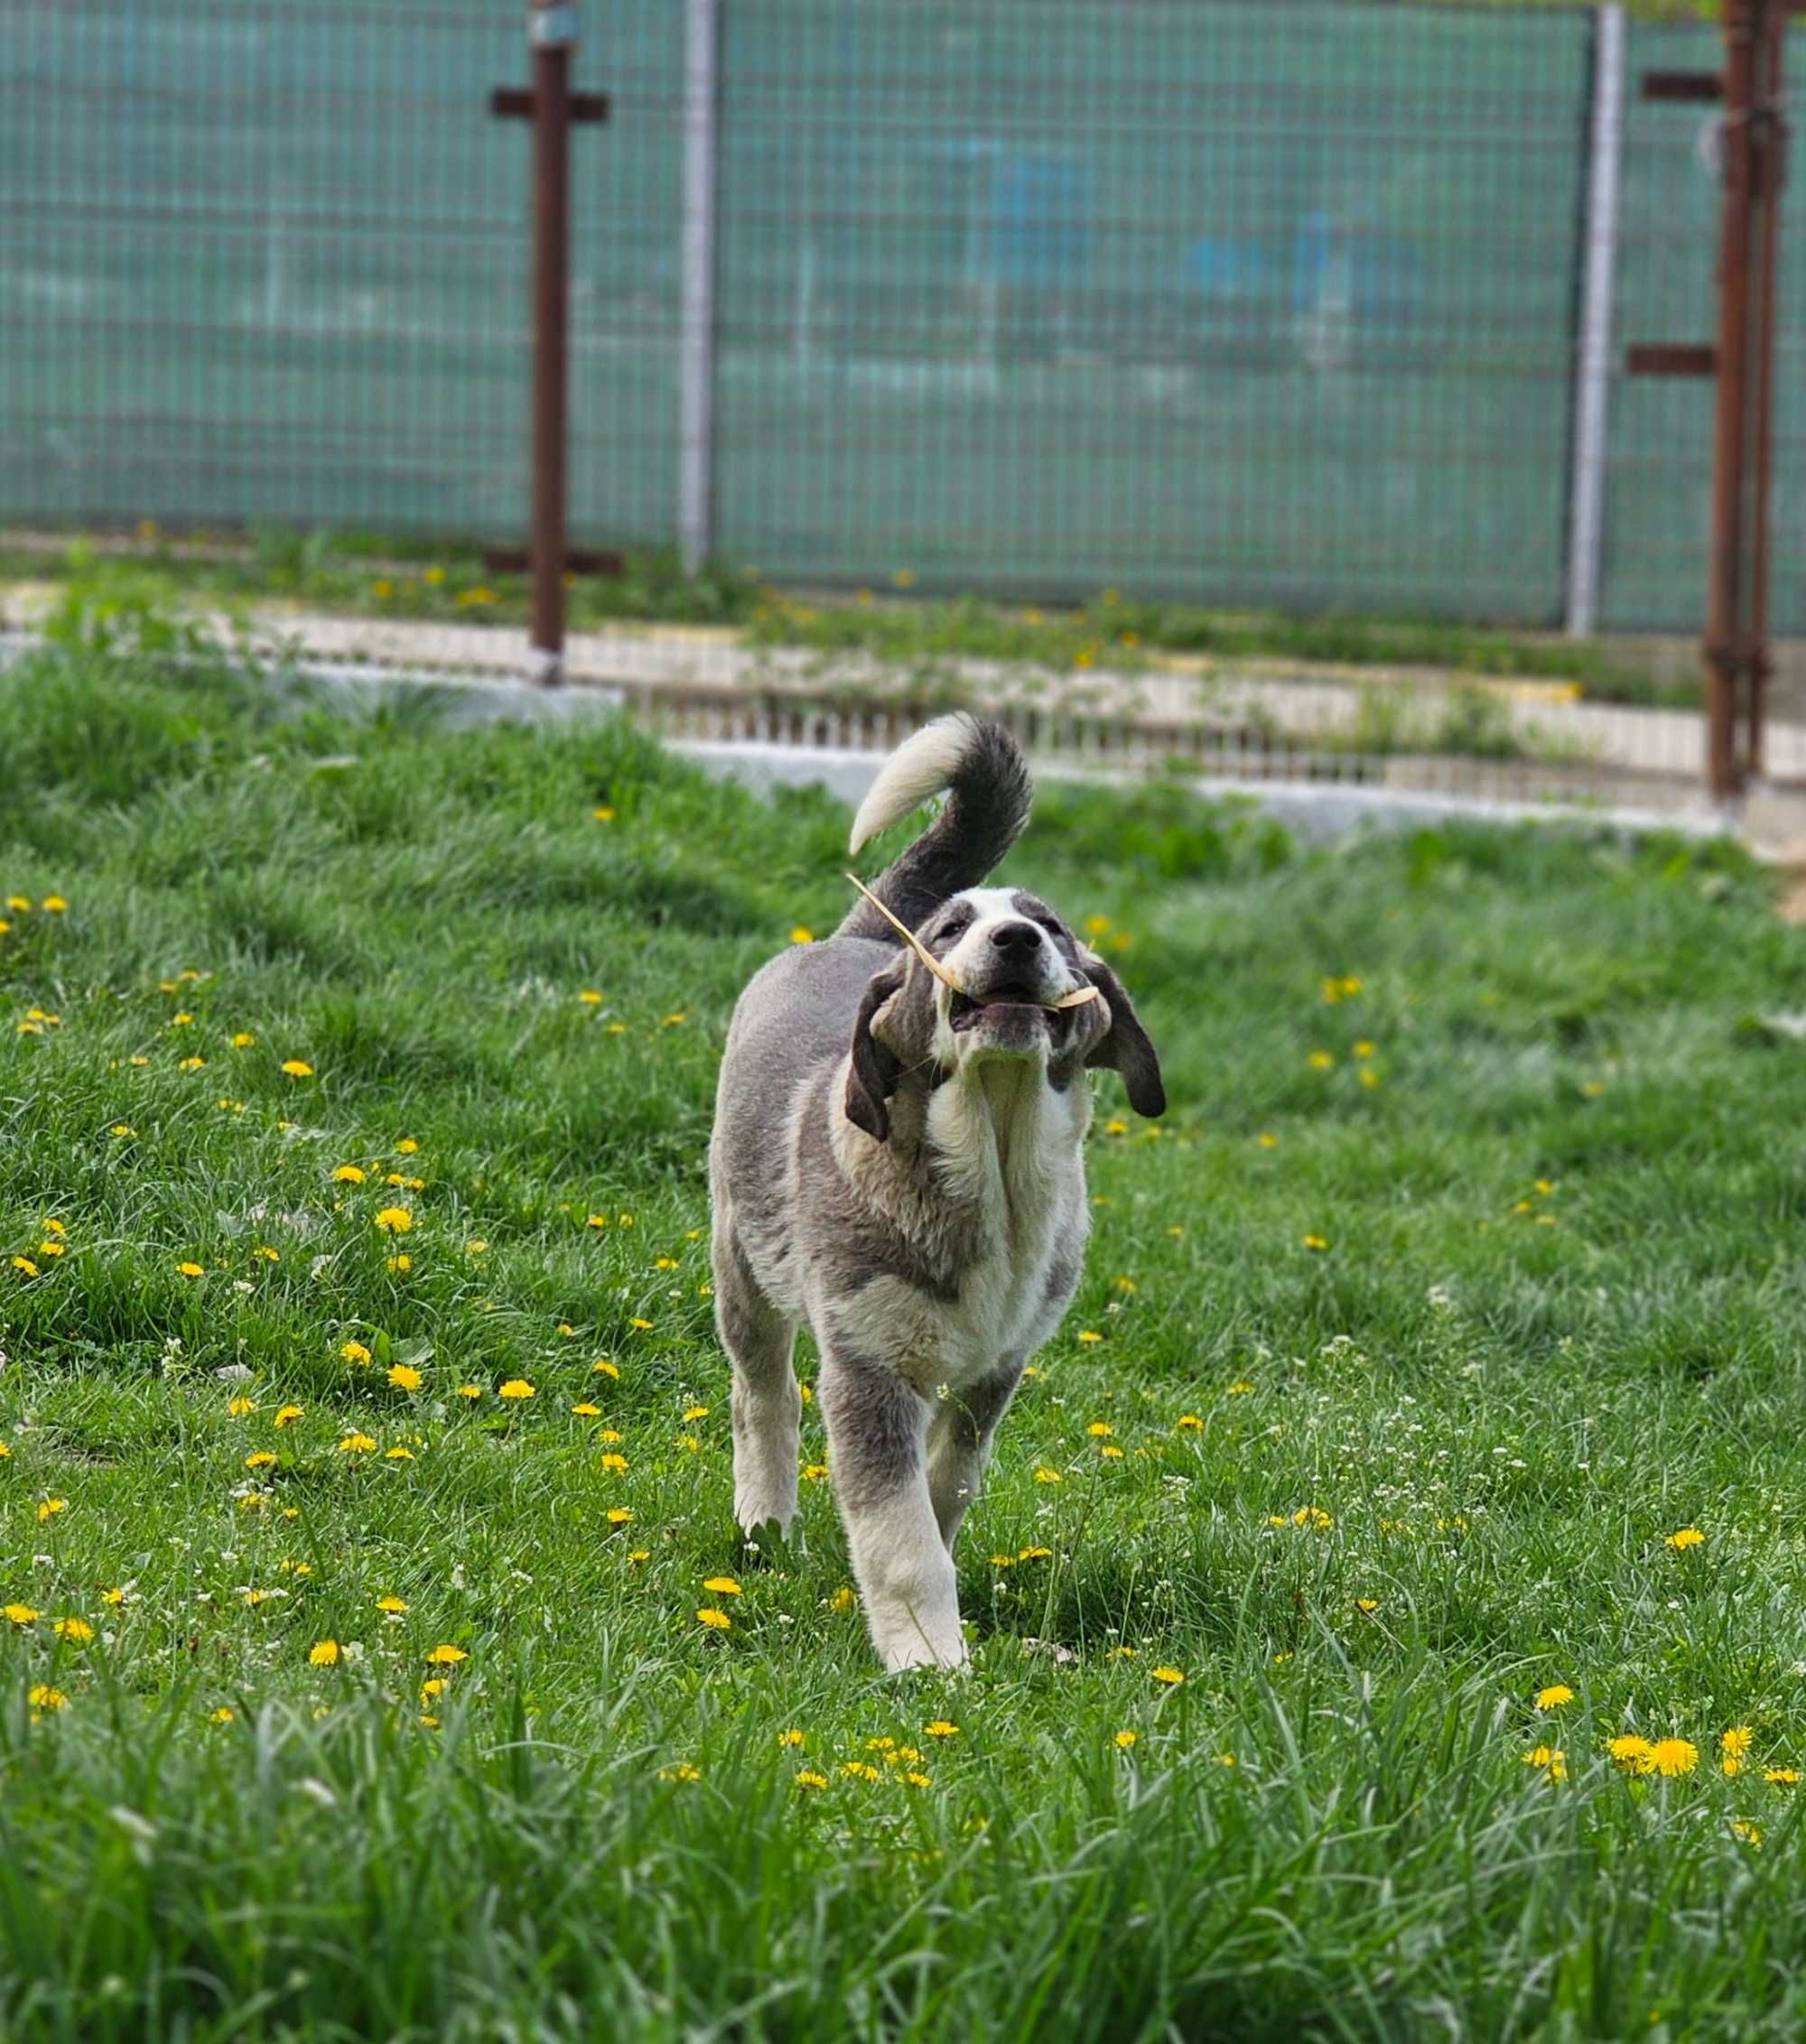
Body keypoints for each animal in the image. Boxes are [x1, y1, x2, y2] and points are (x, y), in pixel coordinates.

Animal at [707, 711, 1161, 1668]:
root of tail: (864, 939)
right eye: (952, 928)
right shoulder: (867, 1367)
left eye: (1051, 925)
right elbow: (901, 1534)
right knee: (762, 1393)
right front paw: (931, 1661)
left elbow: (947, 1485)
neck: (995, 1173)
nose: (1017, 940)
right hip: (741, 1262)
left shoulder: (998, 1368)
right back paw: (765, 1524)